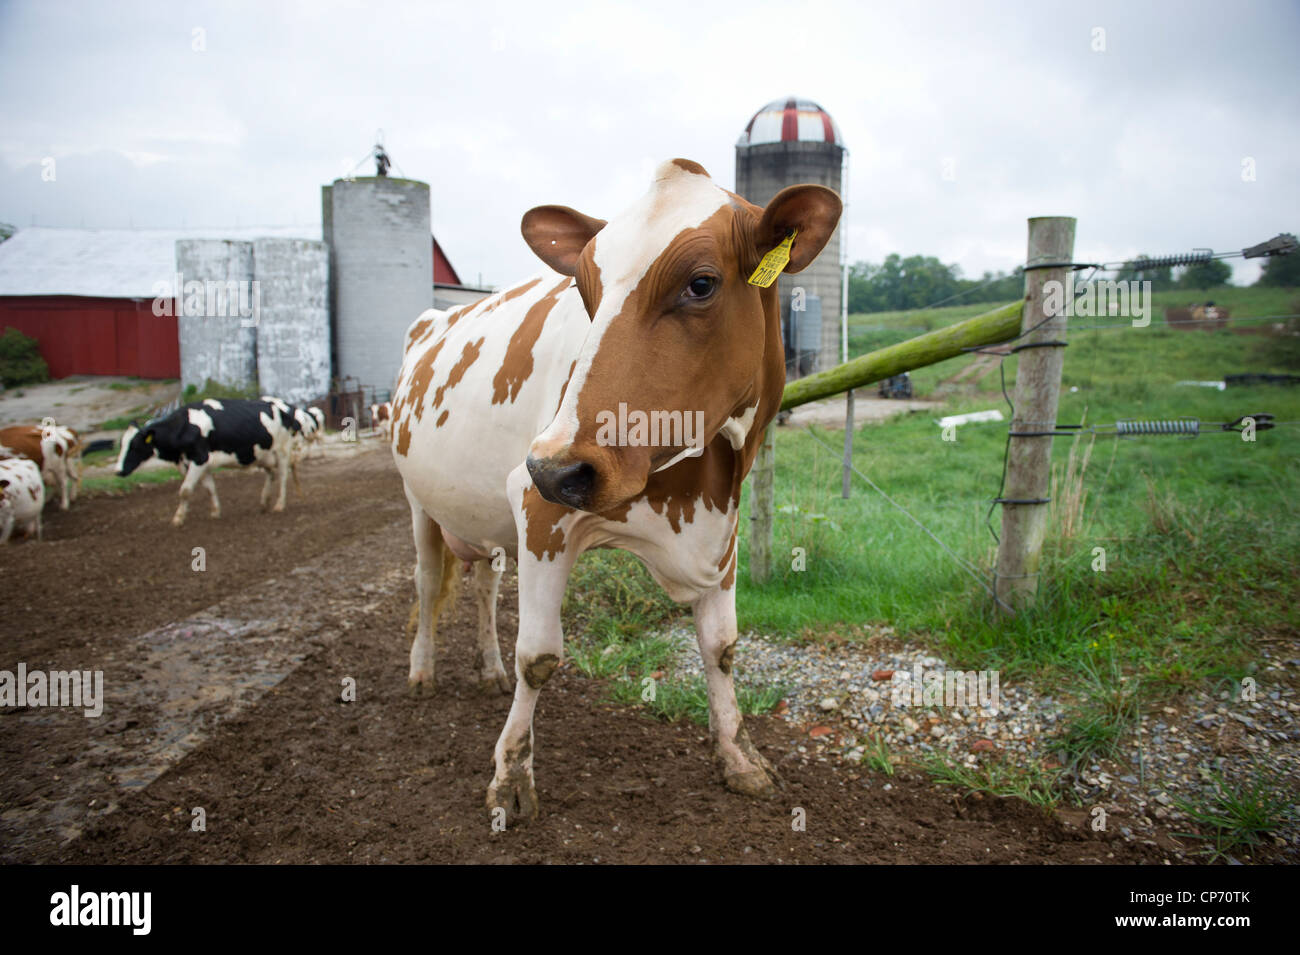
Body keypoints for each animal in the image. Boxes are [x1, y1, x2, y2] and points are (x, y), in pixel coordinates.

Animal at [115, 397, 296, 526]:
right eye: (122, 444)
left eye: (134, 446)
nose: (118, 470)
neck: (184, 426)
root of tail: (280, 409)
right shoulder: (197, 464)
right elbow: (210, 488)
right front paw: (215, 512)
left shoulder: (199, 459)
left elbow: (185, 490)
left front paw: (178, 519)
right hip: (262, 455)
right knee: (271, 475)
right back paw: (264, 503)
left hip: (282, 451)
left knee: (283, 477)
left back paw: (279, 505)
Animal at [391, 158, 841, 823]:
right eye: (585, 290)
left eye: (701, 284)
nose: (557, 469)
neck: (703, 478)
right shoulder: (537, 508)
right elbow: (539, 656)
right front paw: (511, 777)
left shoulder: (723, 525)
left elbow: (722, 645)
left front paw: (740, 758)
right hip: (418, 498)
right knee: (426, 583)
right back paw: (422, 674)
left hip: (485, 516)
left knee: (483, 587)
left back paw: (489, 670)